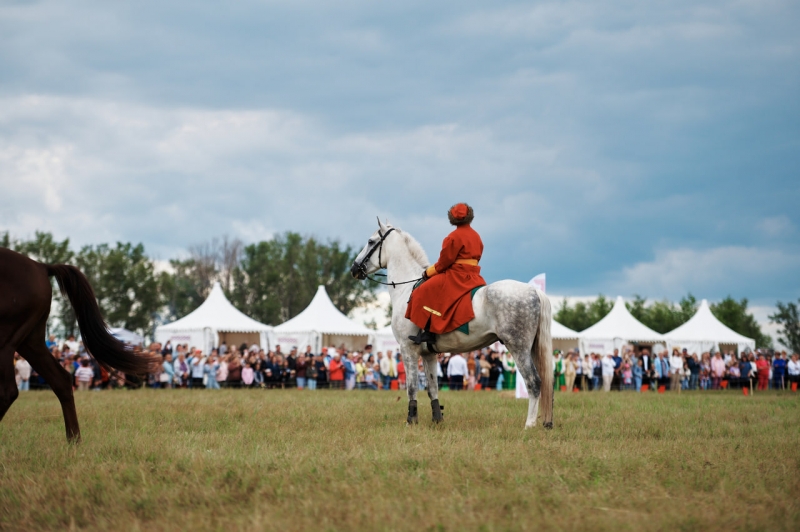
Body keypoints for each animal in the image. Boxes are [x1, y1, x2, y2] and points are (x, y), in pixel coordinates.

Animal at [0, 247, 159, 442]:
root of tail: (40, 266)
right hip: (29, 340)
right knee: (61, 380)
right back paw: (74, 441)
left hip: (7, 338)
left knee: (8, 391)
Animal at [354, 218, 552, 430]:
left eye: (370, 241)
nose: (354, 268)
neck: (406, 289)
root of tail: (533, 291)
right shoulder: (428, 354)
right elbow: (432, 387)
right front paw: (437, 420)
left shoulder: (408, 349)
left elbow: (412, 387)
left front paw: (411, 420)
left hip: (518, 348)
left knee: (533, 382)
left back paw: (529, 425)